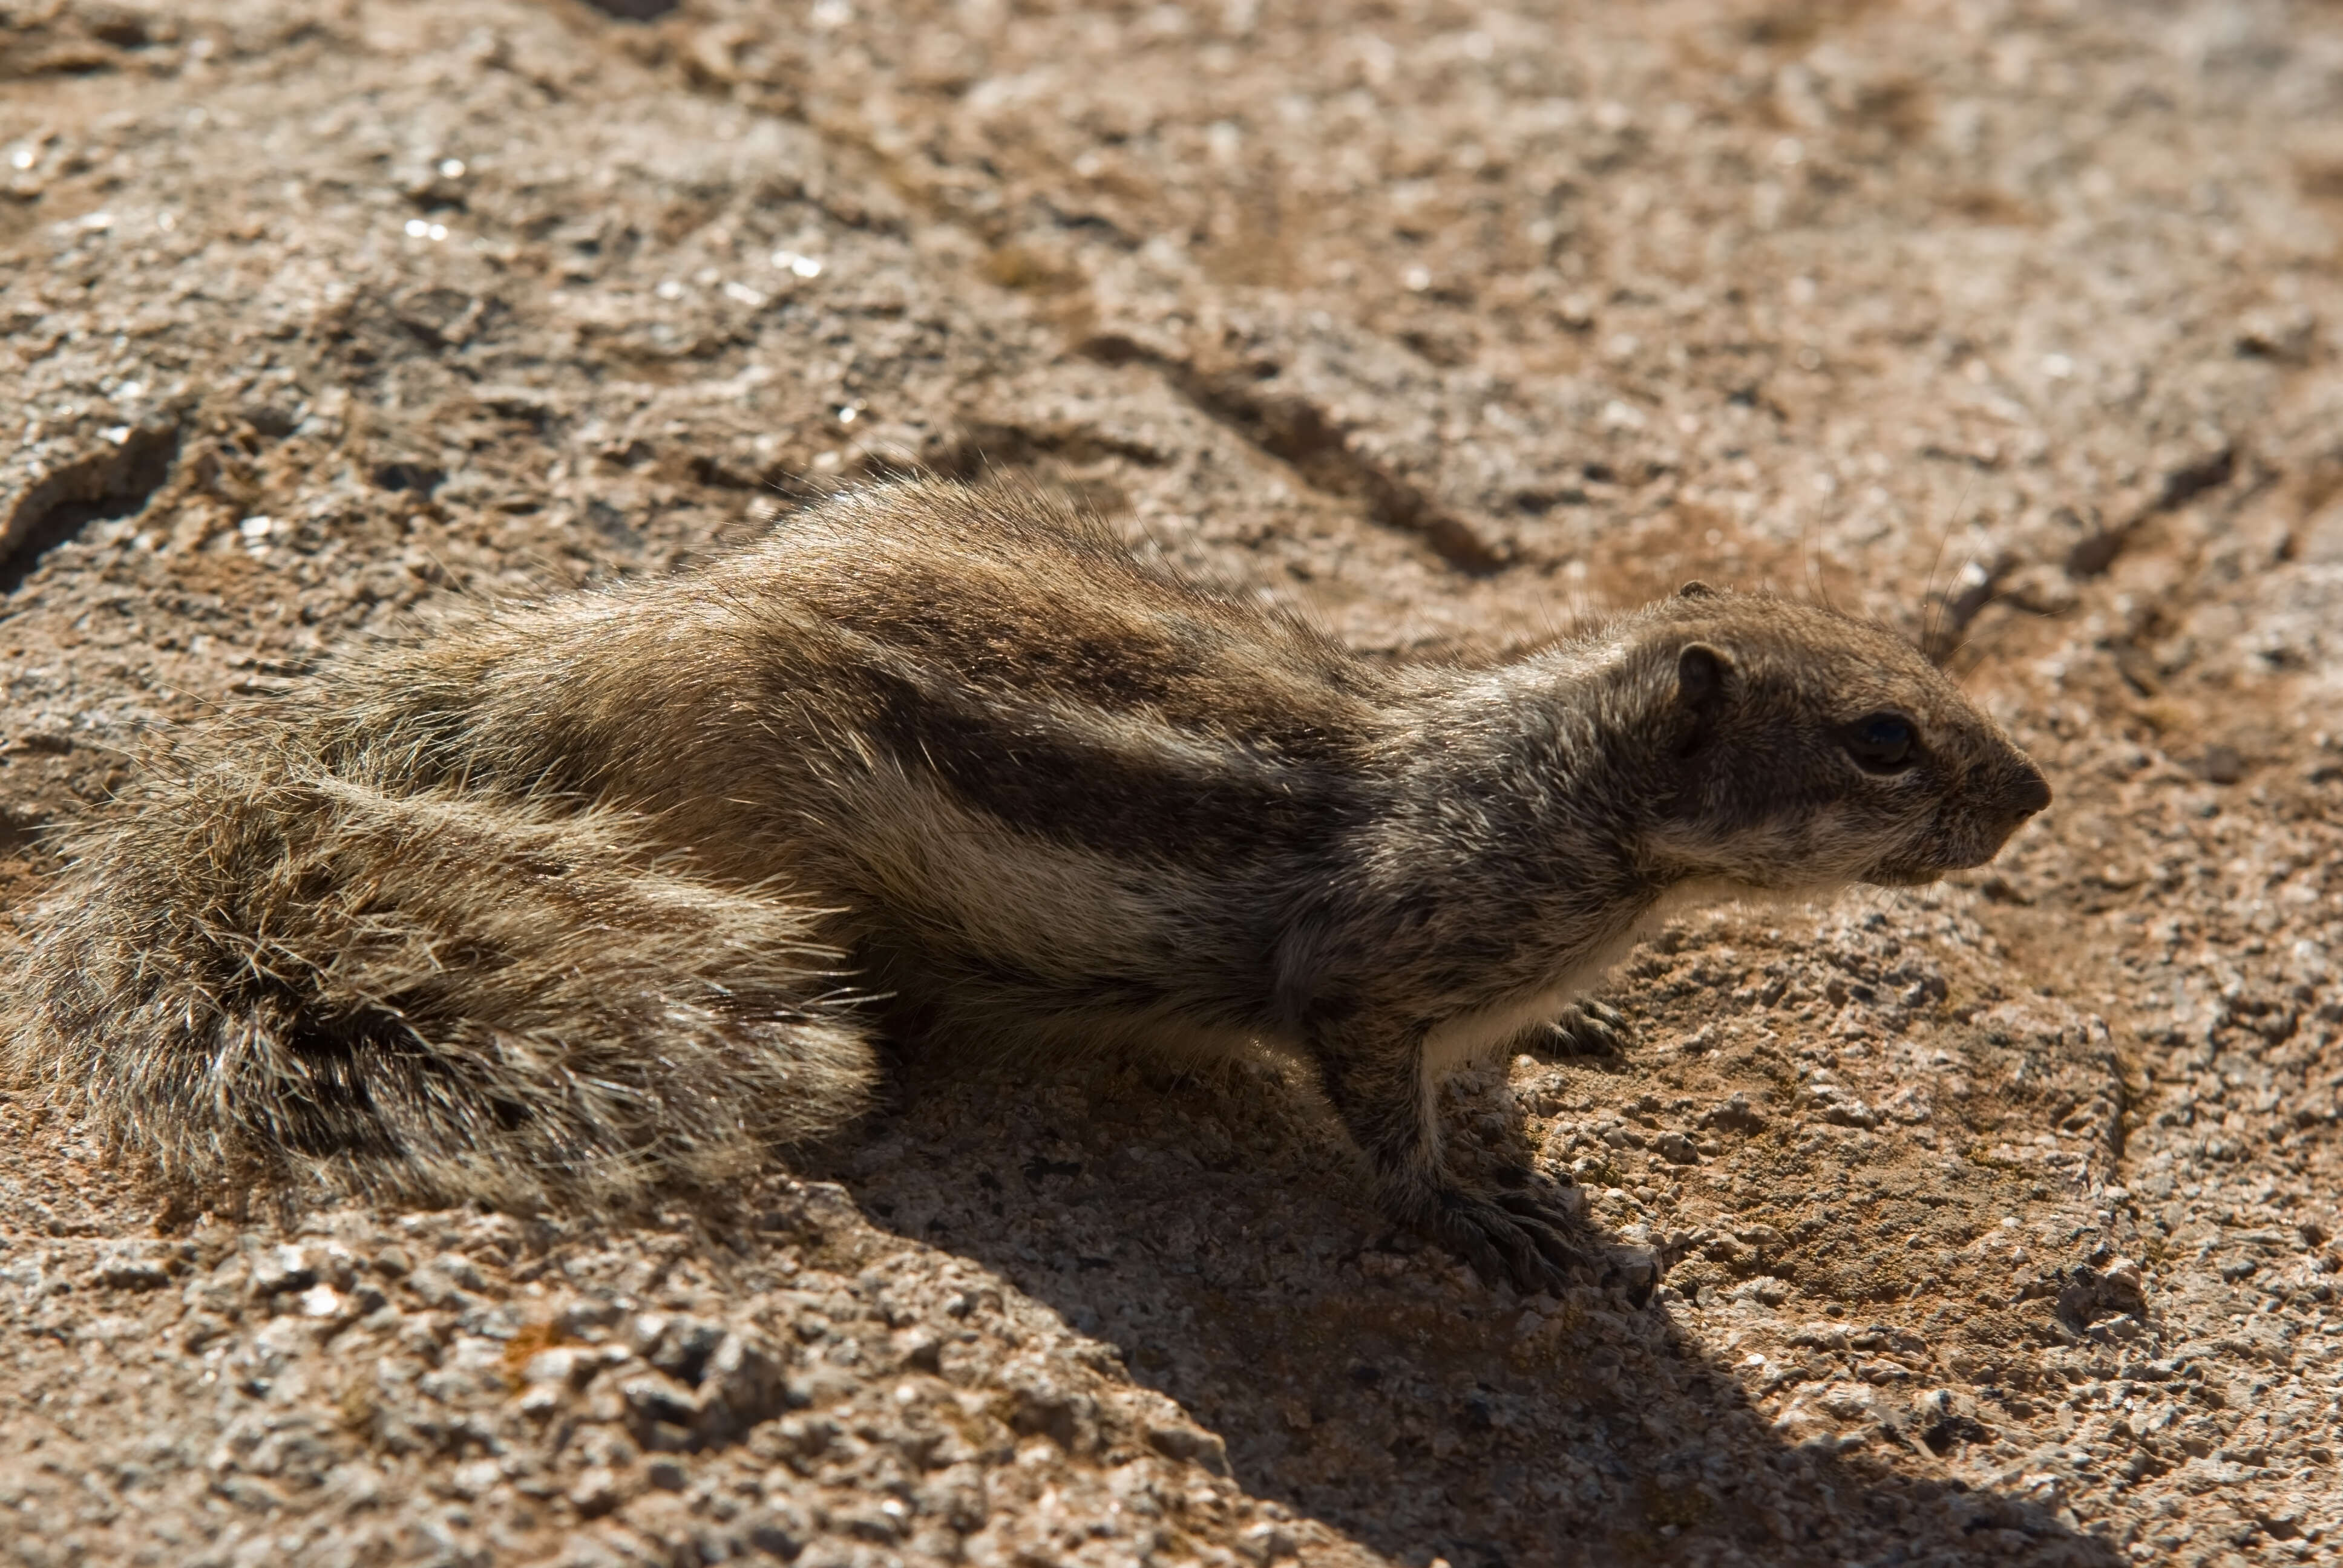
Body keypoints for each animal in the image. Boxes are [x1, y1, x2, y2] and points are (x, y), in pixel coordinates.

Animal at [4, 478, 2052, 1284]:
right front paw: (1481, 1218)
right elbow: (1384, 1112)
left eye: (1916, 675)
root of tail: (608, 649)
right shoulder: (1371, 967)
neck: (1553, 791)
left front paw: (1569, 1062)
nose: (2038, 790)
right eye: (1884, 737)